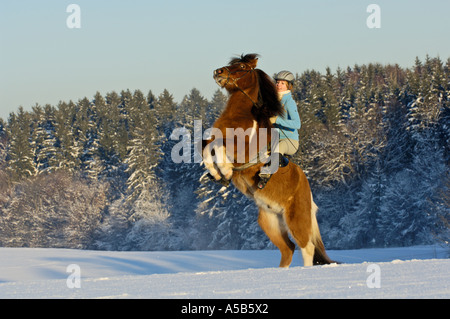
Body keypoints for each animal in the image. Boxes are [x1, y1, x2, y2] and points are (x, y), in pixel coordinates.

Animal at [202, 54, 332, 268]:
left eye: (242, 66)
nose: (218, 72)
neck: (240, 116)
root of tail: (307, 188)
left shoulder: (241, 148)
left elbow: (219, 146)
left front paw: (225, 171)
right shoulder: (212, 139)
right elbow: (207, 147)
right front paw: (218, 175)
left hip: (296, 218)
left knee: (307, 247)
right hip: (270, 221)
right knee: (288, 249)